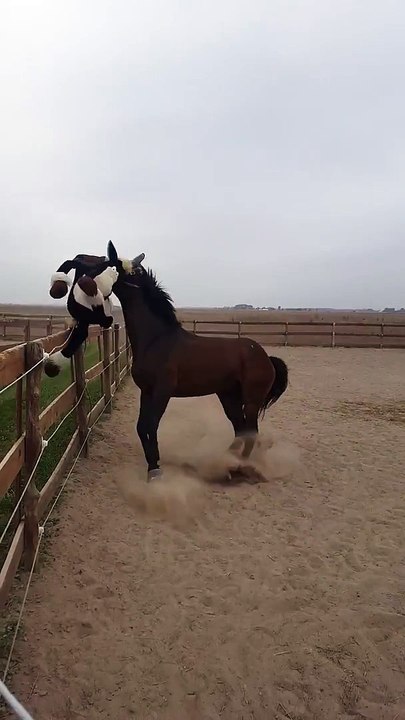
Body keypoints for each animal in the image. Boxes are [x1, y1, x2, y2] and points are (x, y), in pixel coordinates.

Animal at [54, 242, 289, 481]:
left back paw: (240, 468)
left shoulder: (162, 391)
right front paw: (153, 465)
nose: (75, 261)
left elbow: (151, 425)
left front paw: (155, 470)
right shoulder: (147, 391)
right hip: (228, 396)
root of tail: (265, 357)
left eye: (104, 262)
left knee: (250, 432)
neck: (156, 339)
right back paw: (225, 462)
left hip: (251, 400)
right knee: (241, 430)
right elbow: (142, 427)